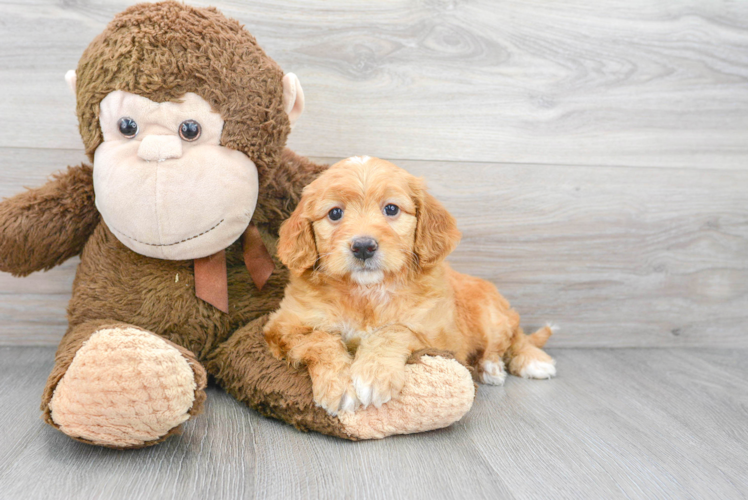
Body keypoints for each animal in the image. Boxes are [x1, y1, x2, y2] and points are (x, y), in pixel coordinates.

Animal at [264, 156, 556, 414]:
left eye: (391, 209)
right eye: (335, 213)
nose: (363, 246)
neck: (366, 292)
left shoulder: (440, 336)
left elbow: (395, 329)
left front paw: (374, 375)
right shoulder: (282, 326)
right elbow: (320, 338)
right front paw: (340, 385)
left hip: (490, 314)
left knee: (512, 337)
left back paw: (515, 363)